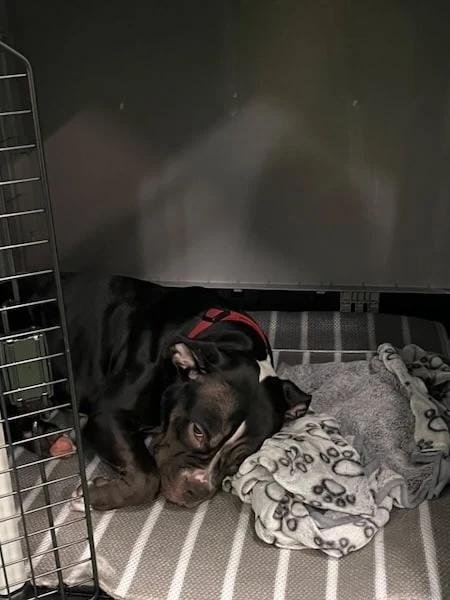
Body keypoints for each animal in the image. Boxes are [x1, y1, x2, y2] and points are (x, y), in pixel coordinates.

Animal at [25, 272, 311, 511]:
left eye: (241, 456)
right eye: (198, 432)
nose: (197, 489)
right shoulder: (107, 415)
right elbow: (146, 478)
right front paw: (91, 497)